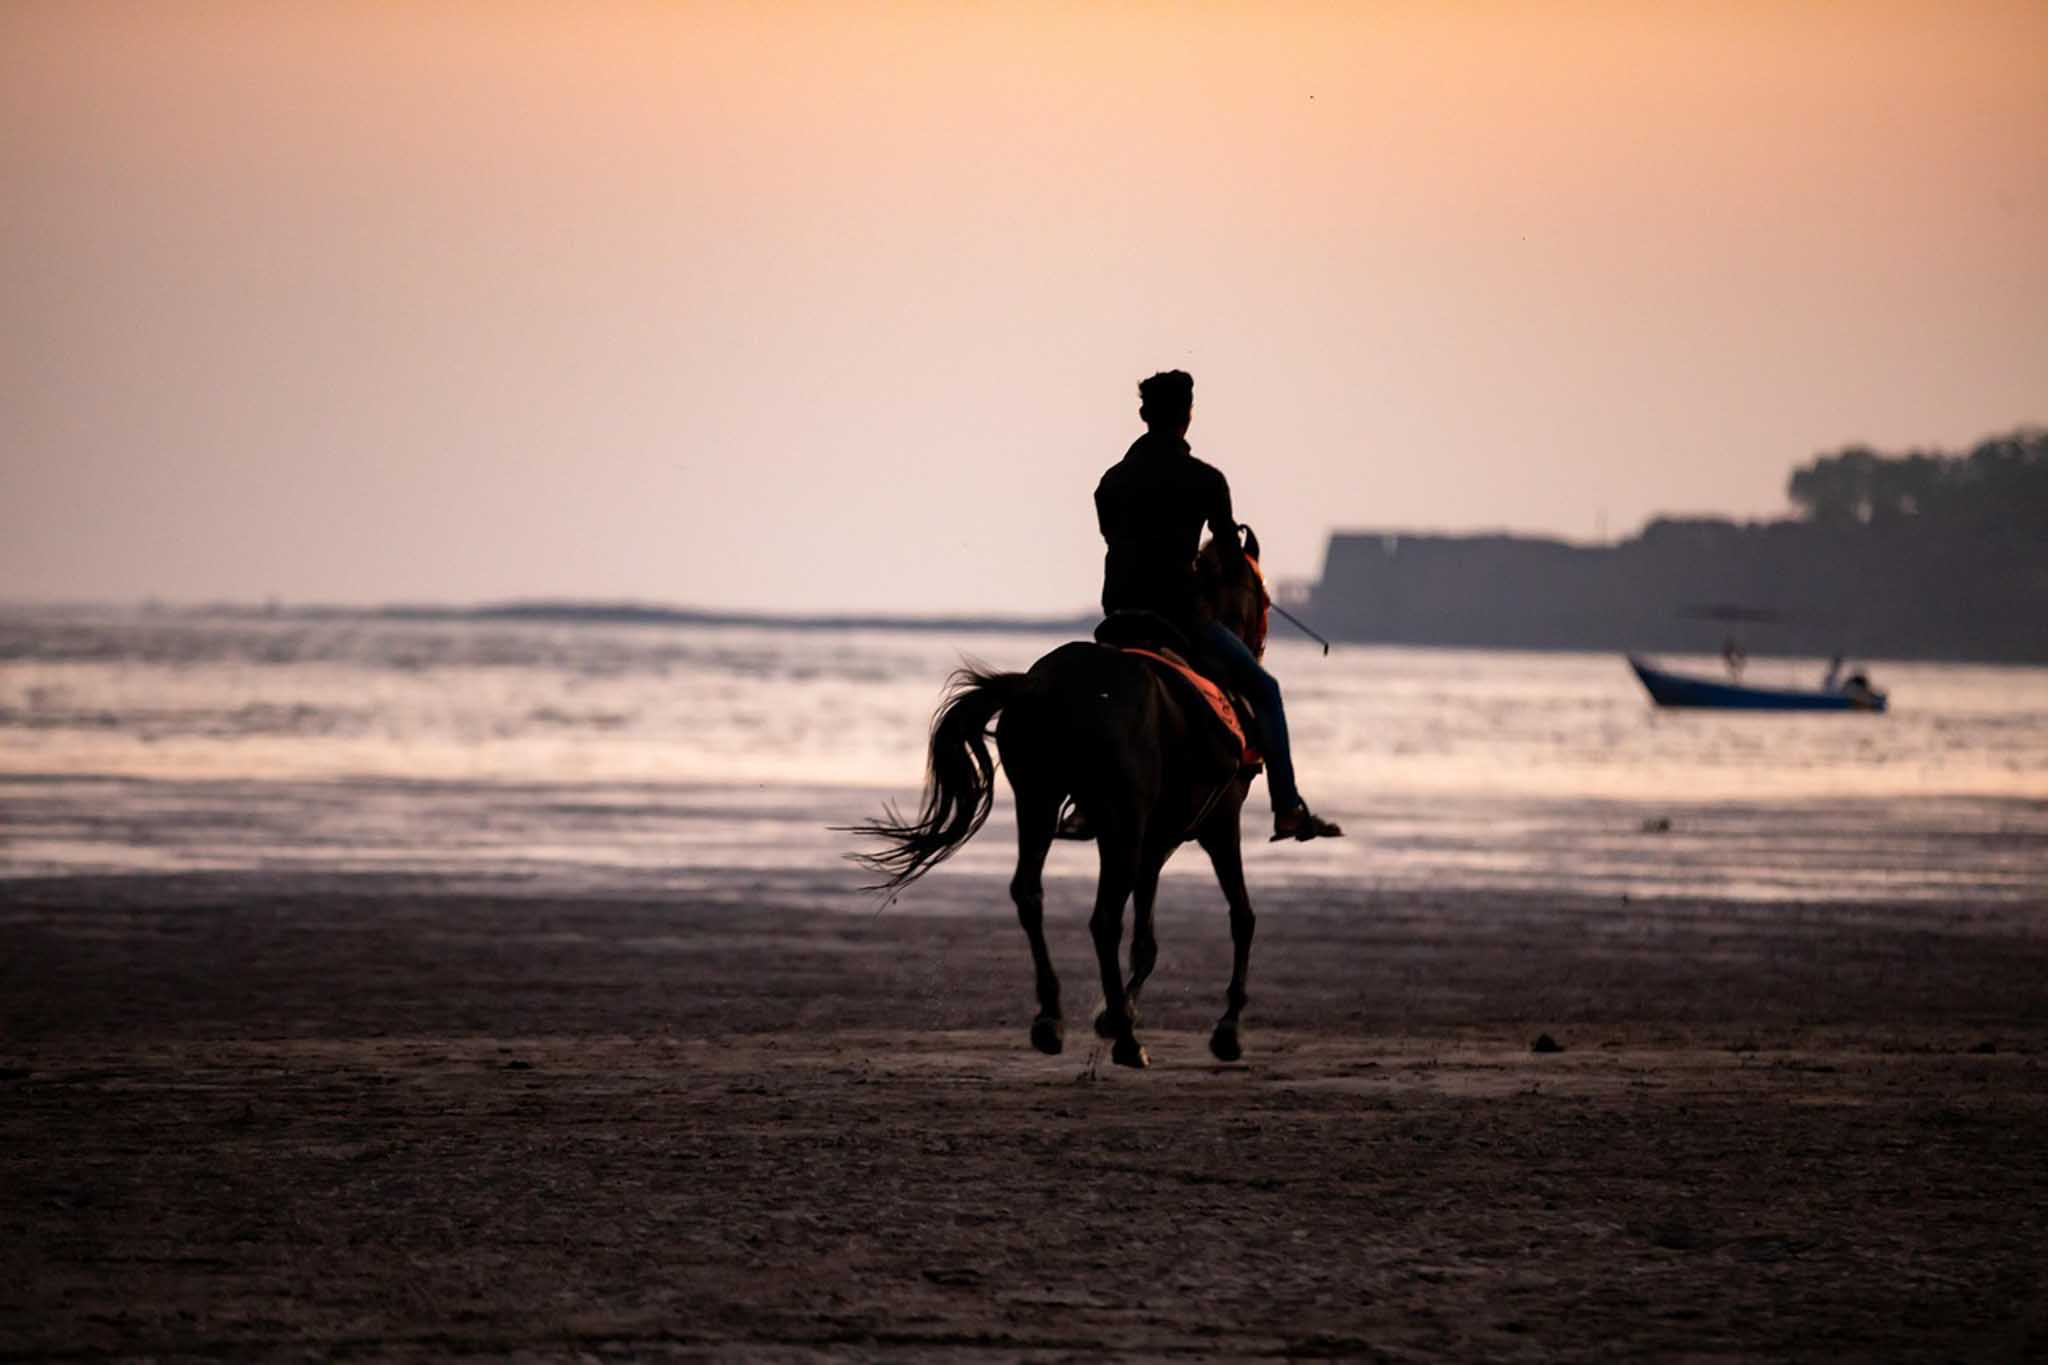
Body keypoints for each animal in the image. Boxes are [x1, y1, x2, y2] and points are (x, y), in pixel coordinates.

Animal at [851, 528, 1272, 1069]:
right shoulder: (1218, 825)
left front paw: (1115, 1012)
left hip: (1039, 801)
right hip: (1117, 820)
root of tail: (1045, 686)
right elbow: (1242, 916)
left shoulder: (1156, 842)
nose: (1256, 647)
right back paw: (1126, 1042)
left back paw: (1051, 1018)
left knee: (1029, 894)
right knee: (1104, 918)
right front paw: (1225, 1028)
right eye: (1265, 596)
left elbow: (1148, 940)